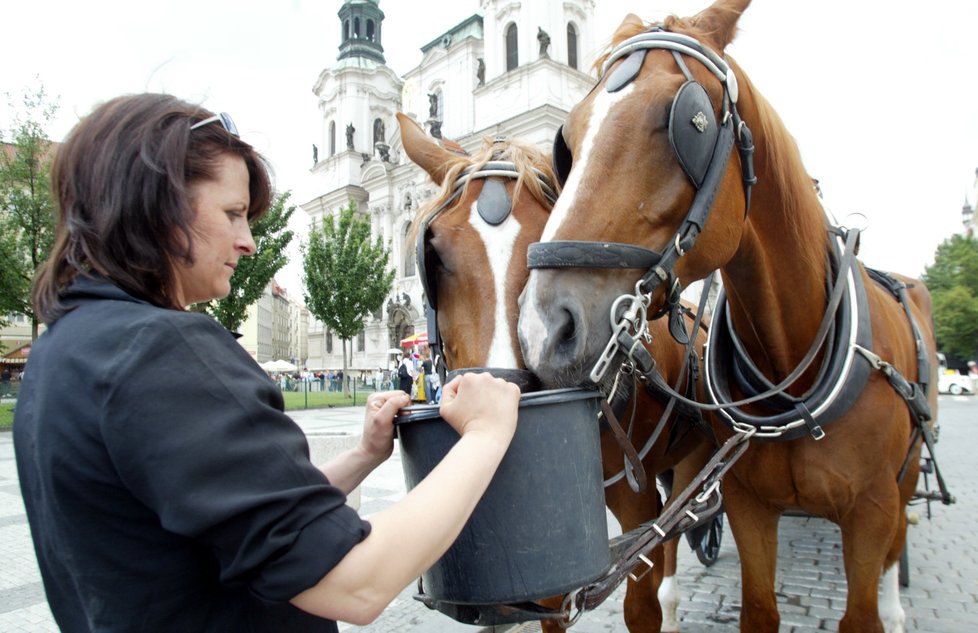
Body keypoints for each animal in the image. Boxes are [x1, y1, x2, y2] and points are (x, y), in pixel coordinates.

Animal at [396, 111, 708, 628]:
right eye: (433, 253)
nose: (499, 398)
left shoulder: (635, 505)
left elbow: (643, 587)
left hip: (691, 459)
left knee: (682, 523)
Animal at [520, 2, 936, 628]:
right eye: (566, 142)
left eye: (690, 123)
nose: (544, 329)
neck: (795, 373)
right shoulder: (749, 506)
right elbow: (758, 608)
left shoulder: (870, 510)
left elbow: (862, 603)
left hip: (906, 475)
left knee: (898, 542)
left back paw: (895, 606)